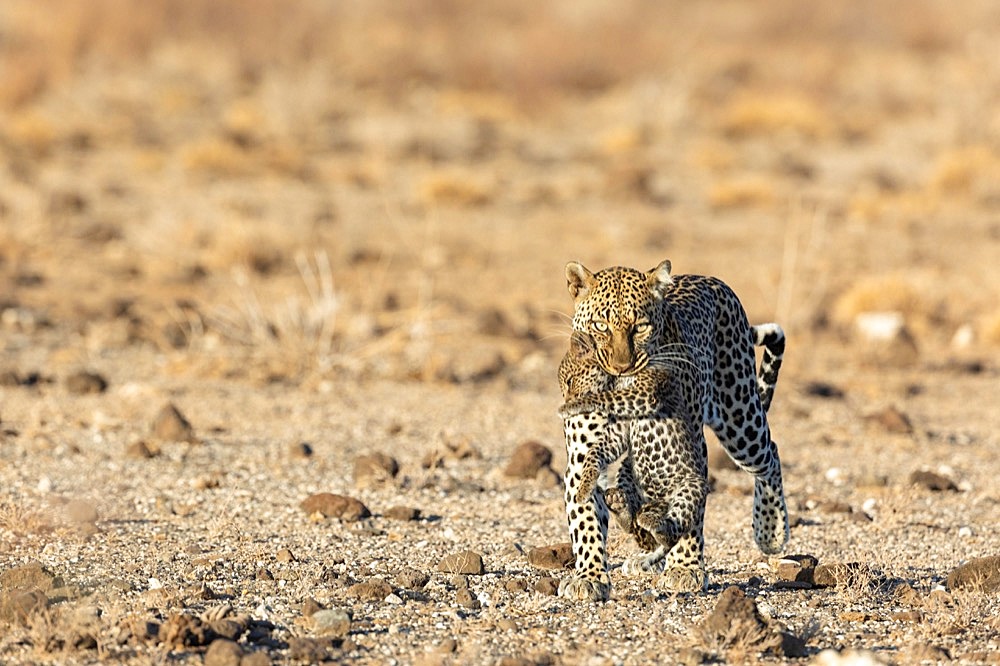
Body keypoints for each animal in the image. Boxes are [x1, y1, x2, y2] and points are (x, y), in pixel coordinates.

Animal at [560, 260, 784, 600]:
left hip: (740, 415)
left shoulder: (689, 445)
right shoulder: (583, 454)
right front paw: (589, 575)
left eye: (640, 327)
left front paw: (684, 569)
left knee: (769, 455)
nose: (622, 367)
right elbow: (585, 516)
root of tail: (709, 278)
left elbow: (691, 513)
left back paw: (770, 531)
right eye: (600, 326)